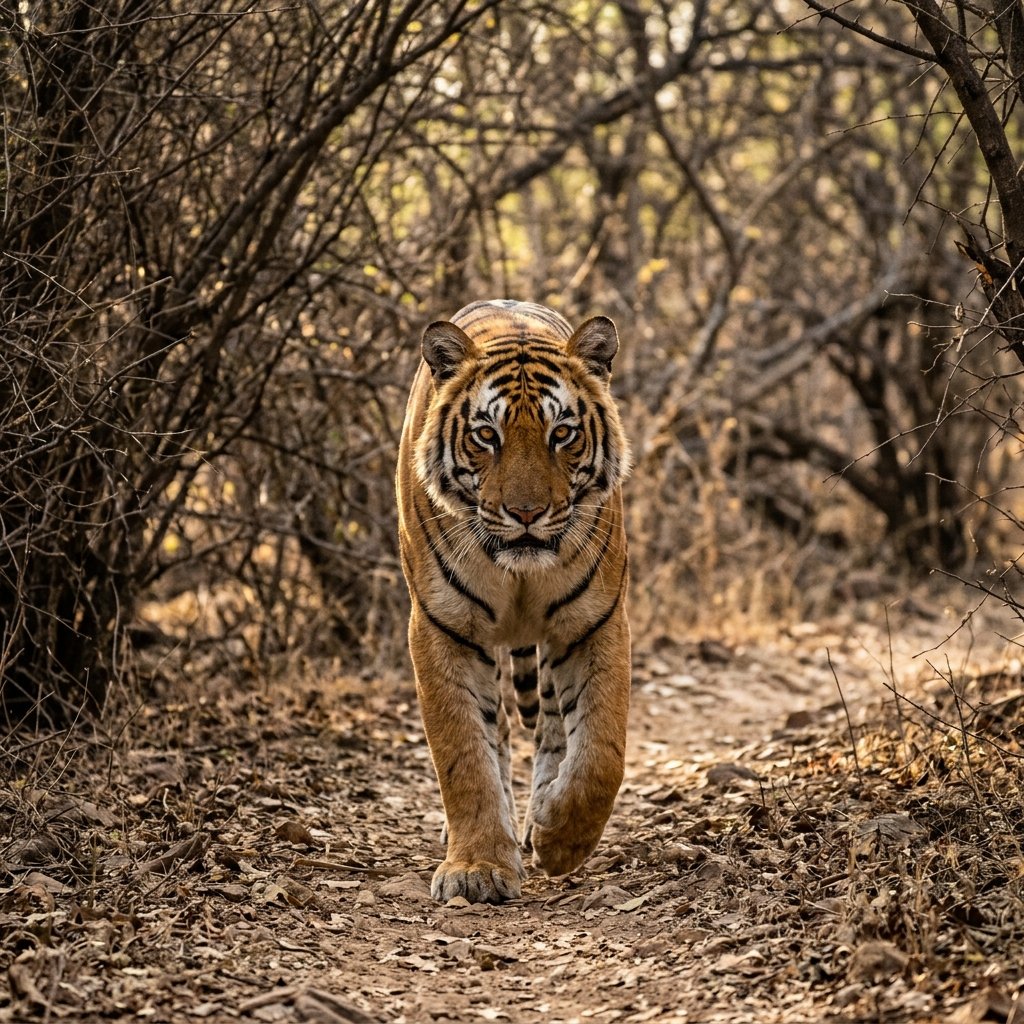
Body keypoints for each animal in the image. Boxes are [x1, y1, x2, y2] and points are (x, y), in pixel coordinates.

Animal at [396, 298, 632, 904]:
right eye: (486, 435)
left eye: (562, 433)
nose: (526, 513)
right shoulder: (443, 628)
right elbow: (464, 757)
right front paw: (477, 868)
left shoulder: (594, 621)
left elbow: (602, 752)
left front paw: (560, 840)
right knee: (499, 735)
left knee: (551, 728)